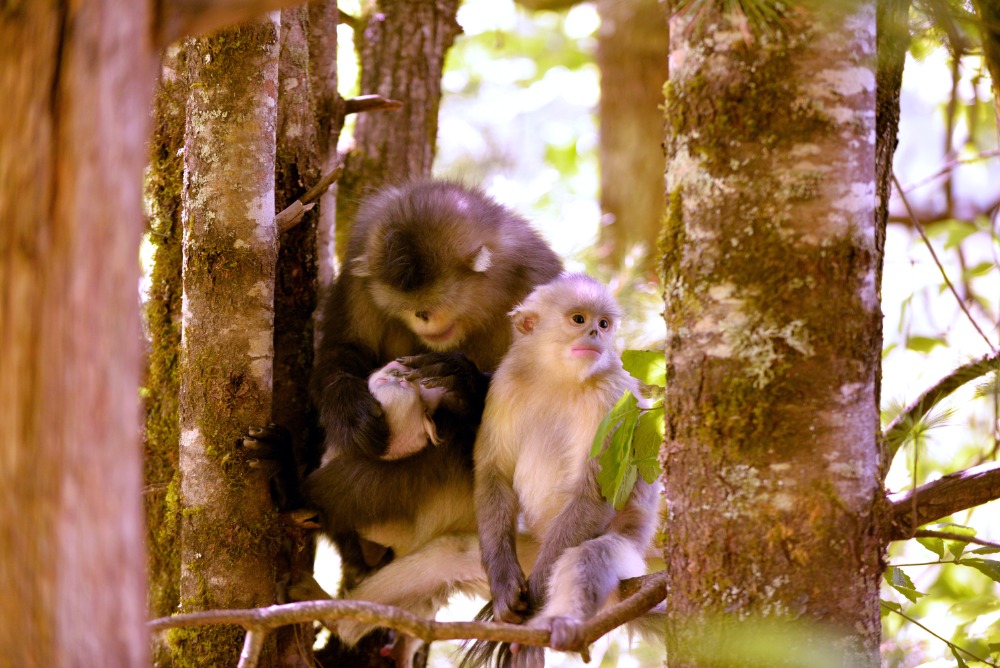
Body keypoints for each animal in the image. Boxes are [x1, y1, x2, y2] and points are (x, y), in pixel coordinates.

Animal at [465, 273, 660, 668]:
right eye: (579, 320)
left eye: (604, 324)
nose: (596, 334)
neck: (556, 376)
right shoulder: (505, 383)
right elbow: (494, 473)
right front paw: (503, 586)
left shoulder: (613, 395)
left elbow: (596, 492)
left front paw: (537, 594)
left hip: (629, 552)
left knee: (589, 557)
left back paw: (560, 625)